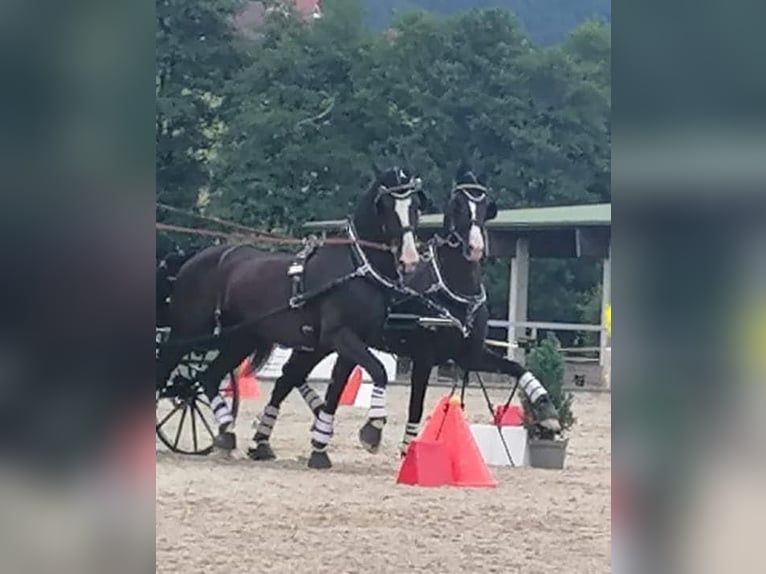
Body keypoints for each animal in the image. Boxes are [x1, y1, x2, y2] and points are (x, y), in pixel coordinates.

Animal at [158, 164, 428, 466]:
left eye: (415, 206)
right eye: (387, 205)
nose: (410, 259)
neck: (356, 268)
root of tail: (191, 261)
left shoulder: (348, 342)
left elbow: (337, 389)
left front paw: (320, 447)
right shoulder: (340, 336)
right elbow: (378, 371)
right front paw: (372, 430)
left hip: (241, 339)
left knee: (208, 378)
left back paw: (226, 433)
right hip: (188, 332)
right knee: (166, 370)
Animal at [249, 166, 560, 464]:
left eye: (484, 206)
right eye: (458, 205)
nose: (475, 247)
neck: (451, 291)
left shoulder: (468, 355)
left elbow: (518, 368)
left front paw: (547, 411)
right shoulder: (424, 358)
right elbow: (416, 405)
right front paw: (408, 449)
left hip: (320, 343)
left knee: (290, 378)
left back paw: (266, 441)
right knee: (291, 378)